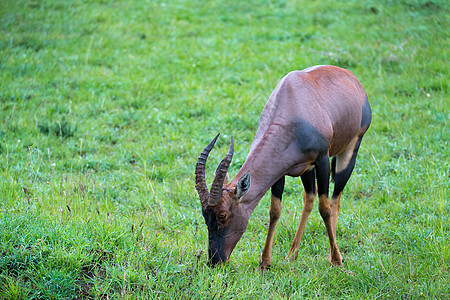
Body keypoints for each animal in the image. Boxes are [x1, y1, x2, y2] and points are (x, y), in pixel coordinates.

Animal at [195, 64, 370, 268]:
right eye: (205, 215)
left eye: (222, 214)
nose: (215, 260)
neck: (292, 101)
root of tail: (351, 78)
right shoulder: (280, 172)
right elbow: (275, 211)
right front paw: (264, 262)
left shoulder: (322, 160)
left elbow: (324, 208)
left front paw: (337, 260)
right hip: (306, 169)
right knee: (309, 198)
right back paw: (292, 255)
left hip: (350, 149)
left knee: (335, 199)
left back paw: (333, 256)